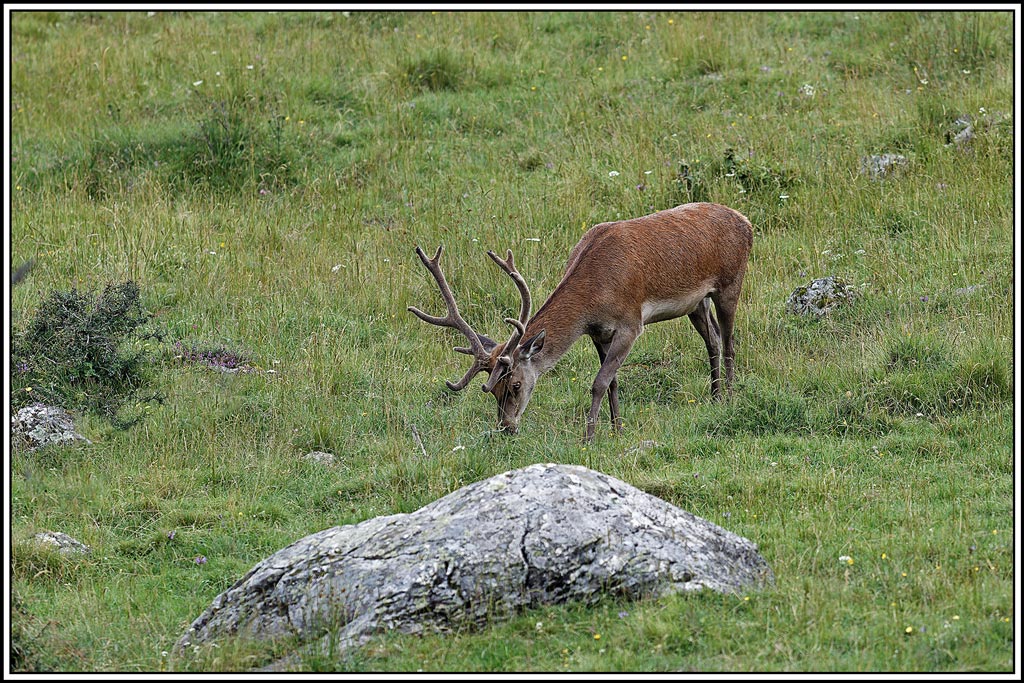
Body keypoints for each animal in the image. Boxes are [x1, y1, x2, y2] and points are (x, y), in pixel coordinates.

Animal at [408, 202, 753, 442]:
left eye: (516, 384)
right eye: (493, 390)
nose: (506, 427)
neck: (595, 293)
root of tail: (746, 221)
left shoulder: (631, 324)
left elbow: (599, 382)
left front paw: (588, 437)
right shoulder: (599, 333)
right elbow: (612, 381)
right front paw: (616, 430)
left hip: (730, 283)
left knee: (730, 342)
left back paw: (730, 398)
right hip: (696, 302)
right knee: (712, 340)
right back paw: (714, 396)